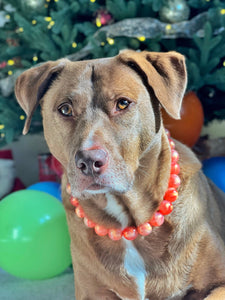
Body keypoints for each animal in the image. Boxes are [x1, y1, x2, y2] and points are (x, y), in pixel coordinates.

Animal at [14, 50, 225, 298]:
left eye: (123, 103)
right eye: (65, 109)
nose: (89, 161)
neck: (129, 223)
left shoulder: (218, 283)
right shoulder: (91, 293)